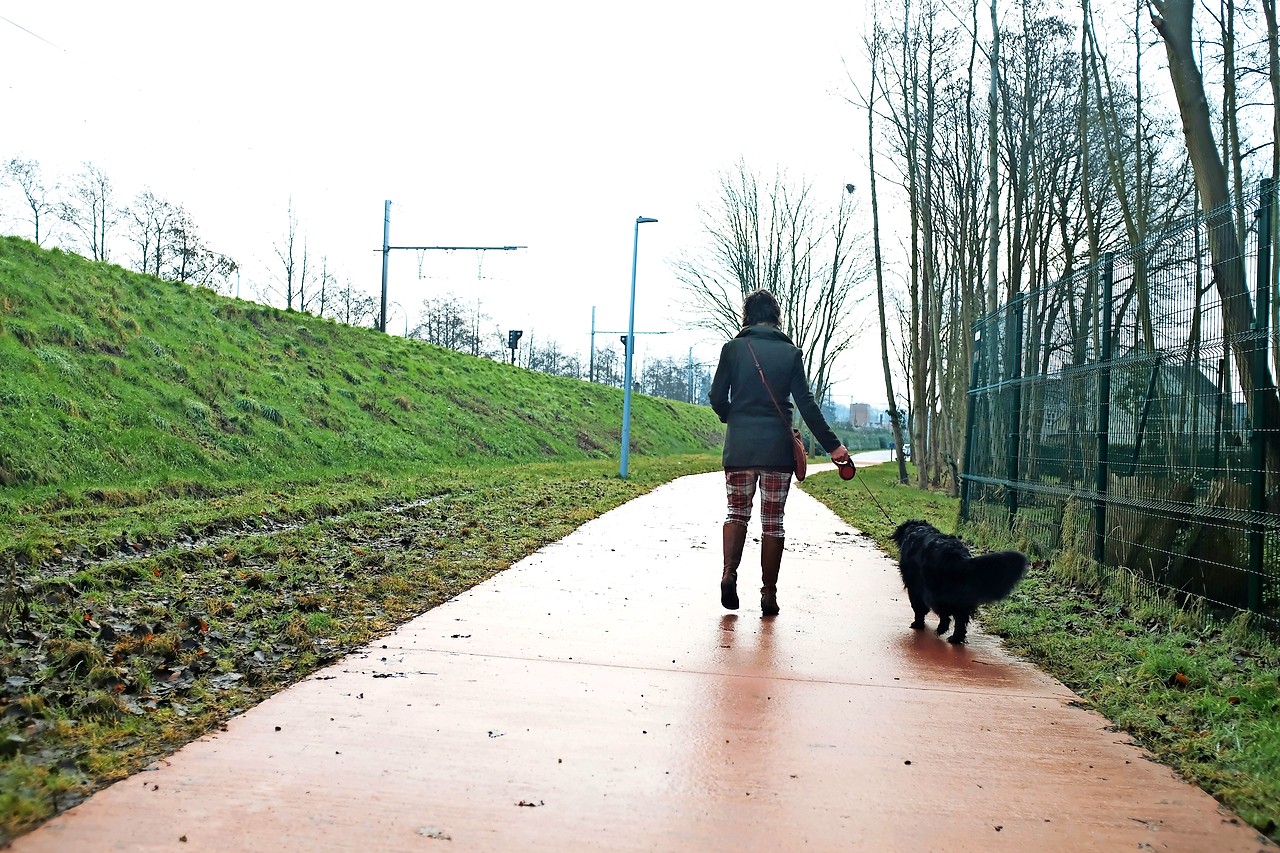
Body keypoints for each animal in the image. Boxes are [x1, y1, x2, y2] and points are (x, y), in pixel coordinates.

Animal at [890, 517, 1029, 645]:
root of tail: (957, 556)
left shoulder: (914, 585)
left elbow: (918, 606)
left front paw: (918, 623)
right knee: (961, 618)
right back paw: (956, 638)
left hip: (933, 593)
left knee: (946, 615)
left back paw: (941, 630)